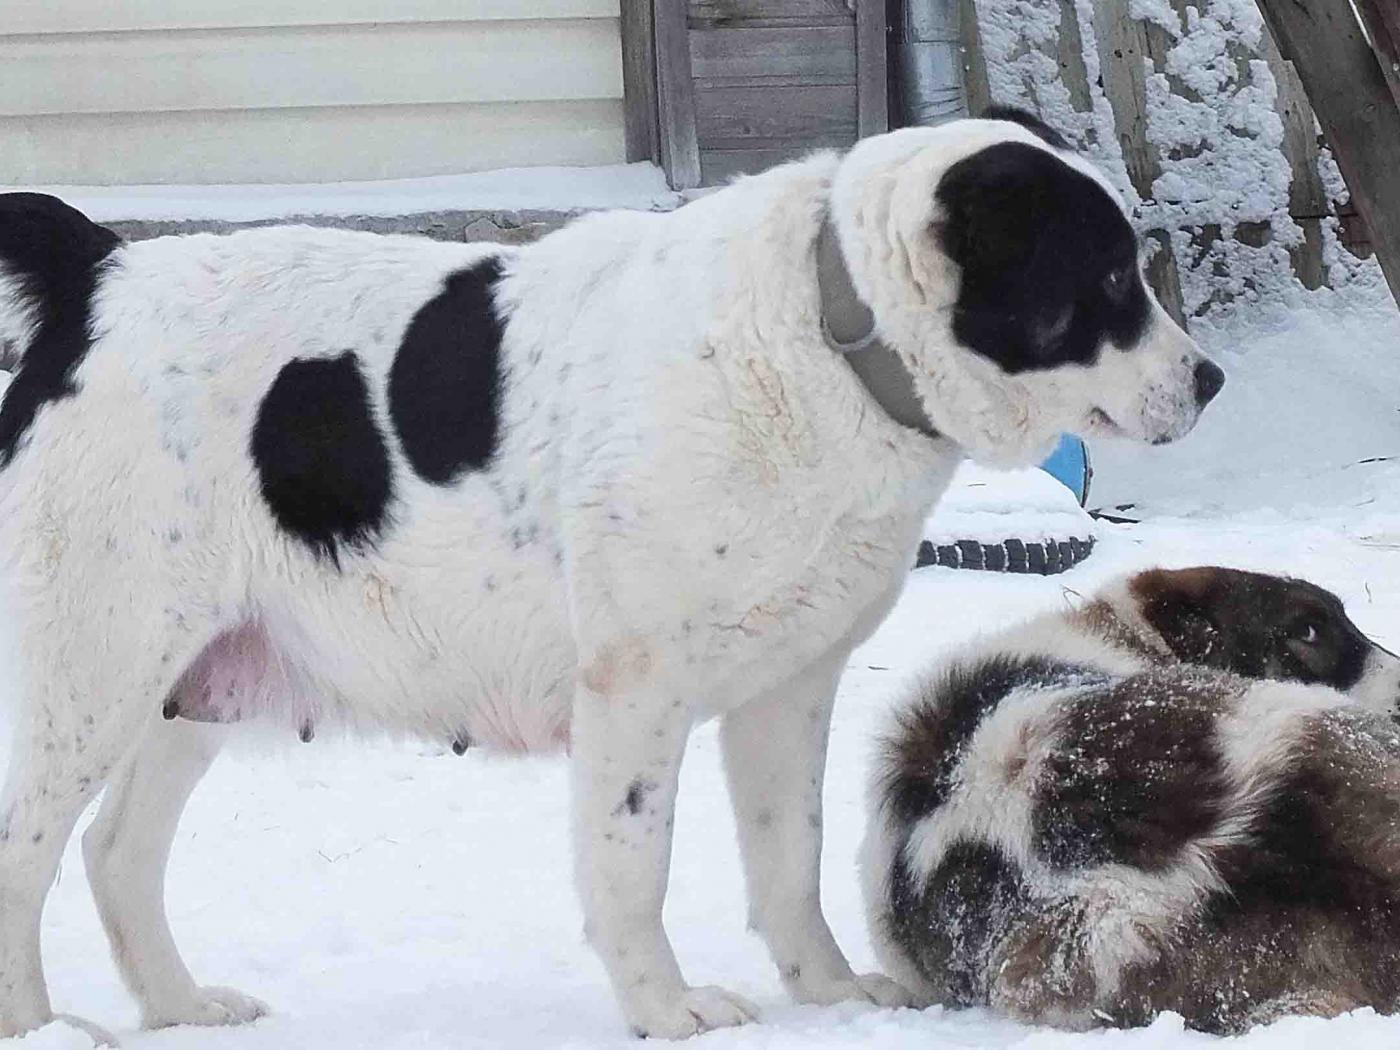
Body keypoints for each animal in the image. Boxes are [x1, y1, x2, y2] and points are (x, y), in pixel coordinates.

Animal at [0, 108, 1221, 1042]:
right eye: (1110, 276)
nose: (1209, 380)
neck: (823, 334)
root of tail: (98, 272)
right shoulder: (636, 688)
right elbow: (636, 864)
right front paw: (667, 1010)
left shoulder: (790, 686)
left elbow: (791, 856)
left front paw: (828, 993)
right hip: (99, 668)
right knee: (26, 850)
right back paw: (41, 1025)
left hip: (197, 678)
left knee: (114, 853)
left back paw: (179, 1008)